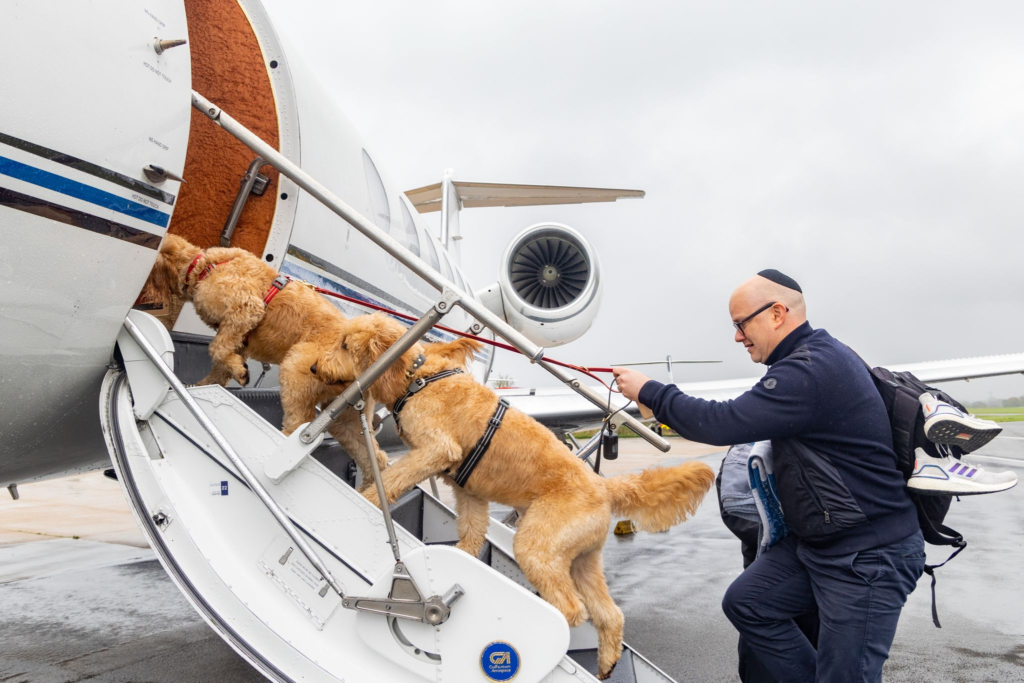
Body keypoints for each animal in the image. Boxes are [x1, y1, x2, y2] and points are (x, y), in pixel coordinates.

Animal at [138, 235, 385, 481]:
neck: (202, 265)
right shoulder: (239, 338)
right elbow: (220, 365)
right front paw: (204, 384)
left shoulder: (245, 309)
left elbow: (217, 348)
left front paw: (240, 372)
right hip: (347, 418)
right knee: (375, 458)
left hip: (295, 372)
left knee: (297, 427)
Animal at [307, 313, 716, 679]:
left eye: (345, 344)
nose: (312, 367)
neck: (418, 377)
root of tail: (603, 487)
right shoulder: (469, 494)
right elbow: (471, 535)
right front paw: (462, 557)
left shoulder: (435, 450)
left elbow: (391, 479)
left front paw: (368, 501)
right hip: (583, 562)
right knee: (608, 614)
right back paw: (606, 663)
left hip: (536, 548)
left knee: (572, 611)